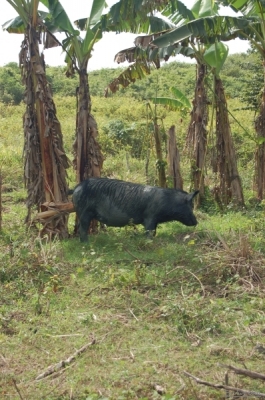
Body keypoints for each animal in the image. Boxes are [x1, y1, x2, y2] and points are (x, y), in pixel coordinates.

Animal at [70, 177, 198, 241]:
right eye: (190, 206)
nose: (197, 222)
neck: (168, 202)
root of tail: (76, 187)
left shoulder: (155, 220)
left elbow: (154, 232)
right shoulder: (149, 217)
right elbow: (149, 232)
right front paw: (149, 242)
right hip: (84, 211)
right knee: (82, 228)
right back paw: (86, 243)